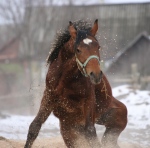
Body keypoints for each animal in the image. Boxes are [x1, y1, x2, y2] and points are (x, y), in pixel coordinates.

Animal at [24, 19, 127, 148]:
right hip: (69, 132)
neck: (65, 79)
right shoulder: (48, 97)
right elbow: (35, 126)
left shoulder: (88, 100)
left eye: (98, 47)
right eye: (78, 49)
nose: (96, 75)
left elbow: (91, 133)